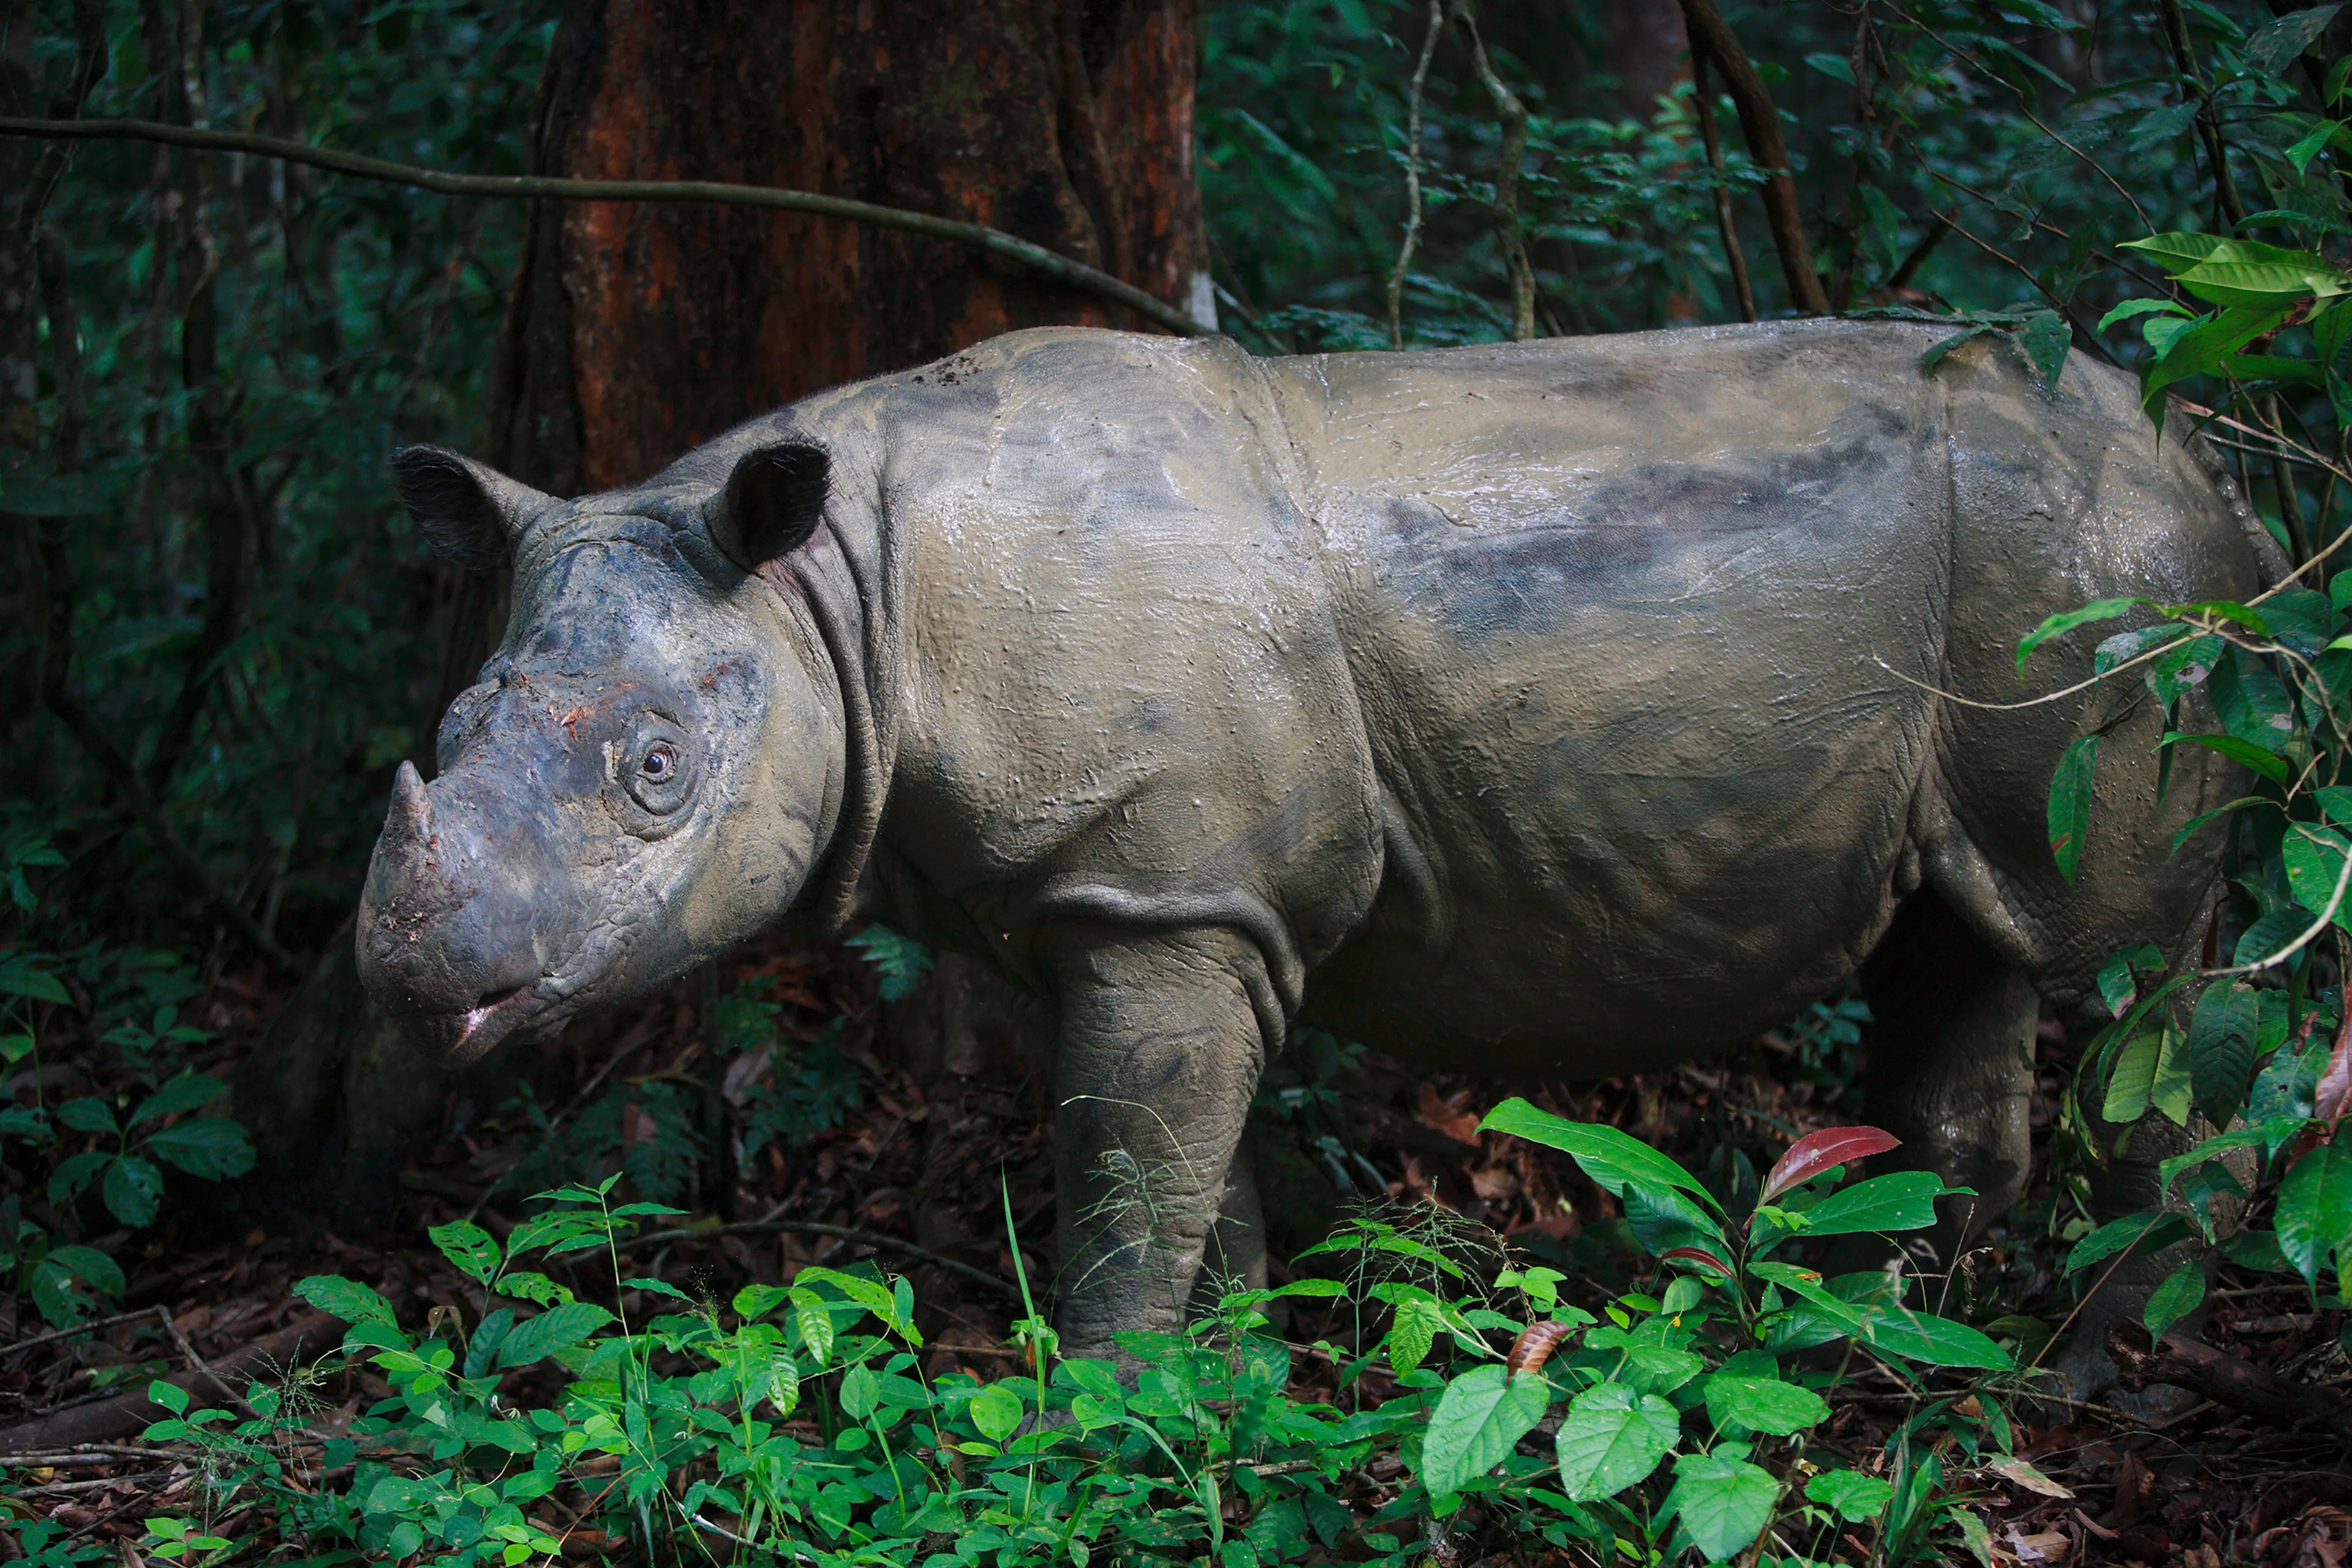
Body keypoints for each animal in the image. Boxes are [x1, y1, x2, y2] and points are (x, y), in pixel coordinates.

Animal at [358, 319, 2270, 1386]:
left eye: (657, 773)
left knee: (2124, 970)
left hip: (2112, 588)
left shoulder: (1161, 892)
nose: (402, 968)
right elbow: (1194, 1175)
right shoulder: (1133, 900)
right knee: (1967, 943)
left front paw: (1097, 1414)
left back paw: (2077, 1374)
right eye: (443, 731)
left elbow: (1128, 1174)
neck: (842, 601)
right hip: (2046, 587)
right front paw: (1229, 1395)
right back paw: (1875, 1333)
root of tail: (2211, 471)